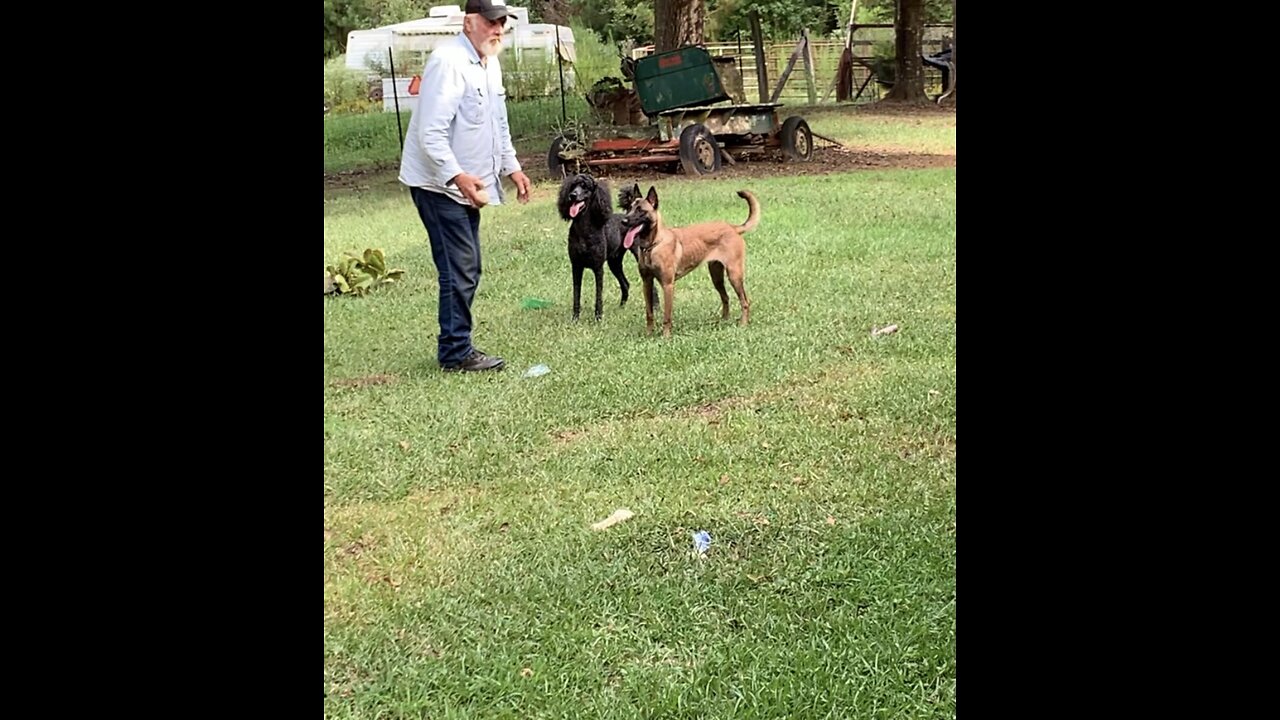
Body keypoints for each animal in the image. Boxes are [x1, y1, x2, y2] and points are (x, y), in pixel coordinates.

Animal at [622, 188, 757, 338]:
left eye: (641, 210)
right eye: (629, 208)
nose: (623, 221)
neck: (653, 245)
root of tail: (732, 228)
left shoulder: (668, 285)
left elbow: (667, 316)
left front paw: (665, 336)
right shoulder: (647, 283)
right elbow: (649, 313)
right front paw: (649, 333)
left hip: (734, 275)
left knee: (745, 301)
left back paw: (743, 324)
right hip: (716, 276)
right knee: (725, 297)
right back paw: (724, 321)